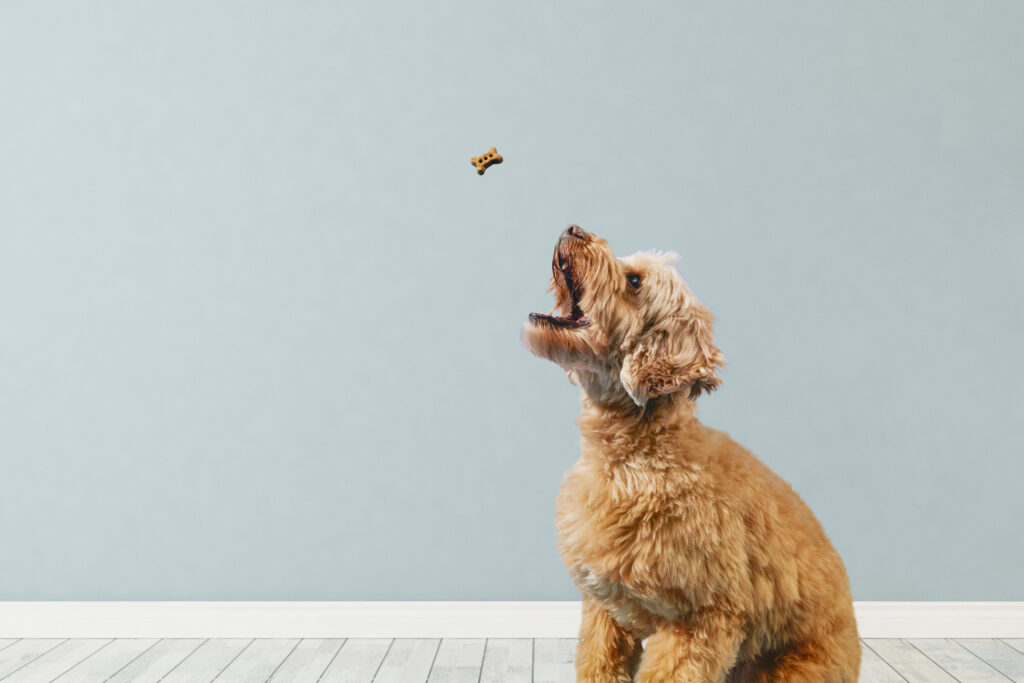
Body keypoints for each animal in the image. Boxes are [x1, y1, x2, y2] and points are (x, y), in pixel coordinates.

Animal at [516, 227, 860, 679]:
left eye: (634, 281)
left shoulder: (699, 621)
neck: (637, 456)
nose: (574, 229)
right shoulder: (604, 607)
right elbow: (597, 663)